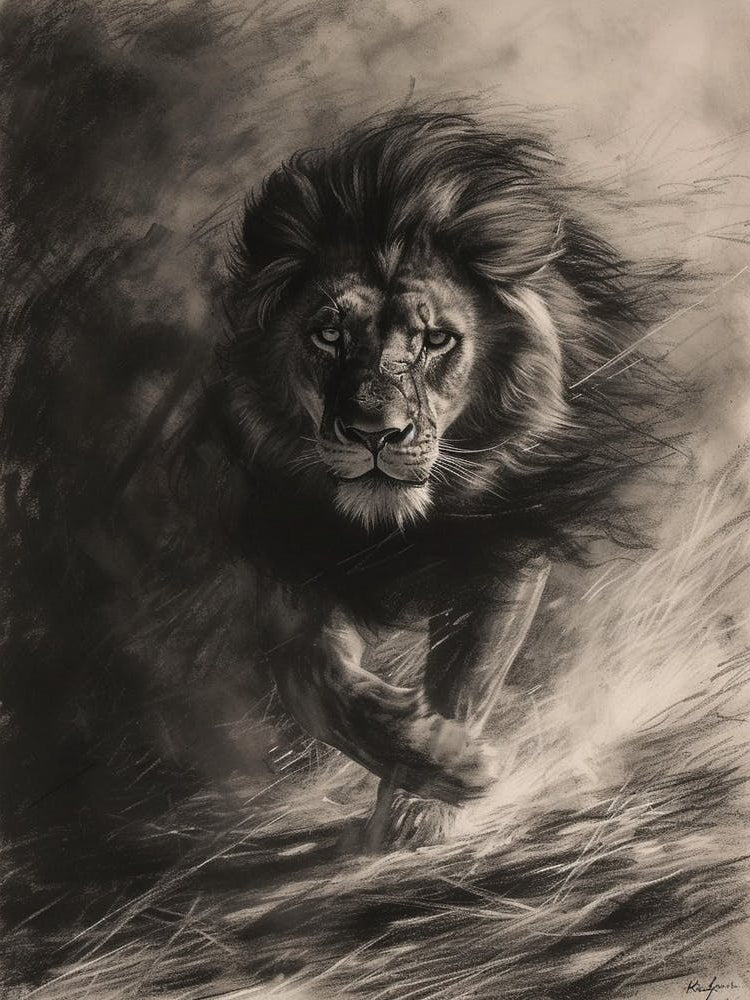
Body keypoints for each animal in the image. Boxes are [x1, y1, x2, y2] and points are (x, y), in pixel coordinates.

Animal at [182, 110, 678, 846]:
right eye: (328, 334)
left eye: (436, 339)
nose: (373, 433)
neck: (401, 529)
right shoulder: (301, 565)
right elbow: (316, 682)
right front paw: (443, 762)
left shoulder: (504, 554)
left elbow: (467, 678)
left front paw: (425, 803)